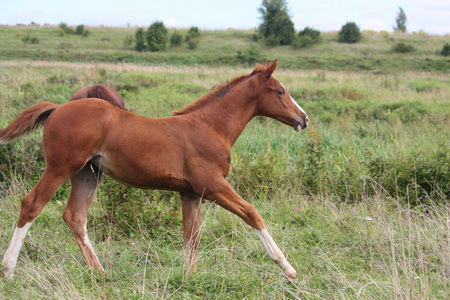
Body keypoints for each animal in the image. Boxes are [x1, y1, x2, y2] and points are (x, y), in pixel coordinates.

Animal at [0, 59, 308, 280]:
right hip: (60, 168)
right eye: (281, 91)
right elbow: (252, 214)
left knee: (75, 216)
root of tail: (57, 108)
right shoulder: (213, 185)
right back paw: (9, 269)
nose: (304, 119)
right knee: (32, 204)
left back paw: (99, 272)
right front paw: (287, 267)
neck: (210, 127)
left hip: (87, 173)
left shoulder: (190, 193)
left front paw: (190, 276)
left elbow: (191, 235)